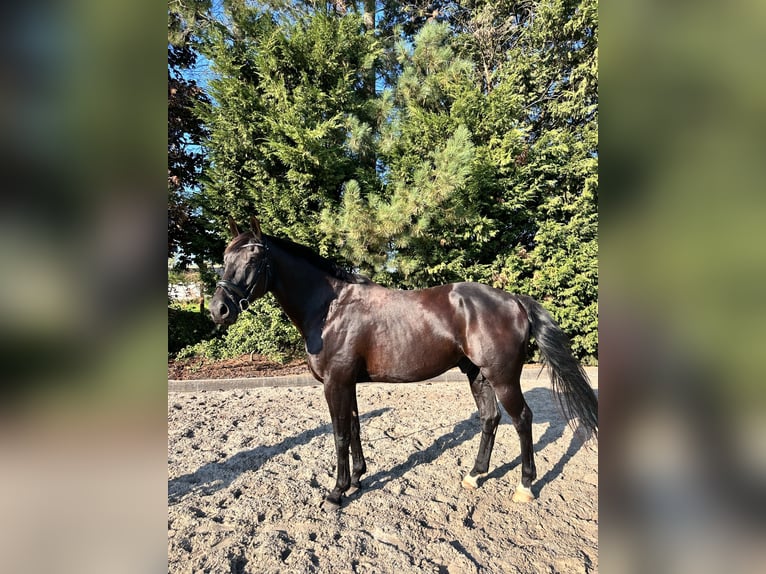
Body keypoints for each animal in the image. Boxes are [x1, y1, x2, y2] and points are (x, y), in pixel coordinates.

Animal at [210, 216, 598, 509]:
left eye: (253, 261)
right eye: (225, 260)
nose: (219, 309)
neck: (330, 308)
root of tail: (514, 300)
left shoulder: (336, 382)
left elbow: (339, 433)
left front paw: (336, 493)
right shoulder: (347, 383)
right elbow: (354, 427)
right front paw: (357, 478)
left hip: (502, 377)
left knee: (522, 420)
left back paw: (525, 486)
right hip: (477, 374)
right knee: (490, 418)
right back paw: (475, 476)